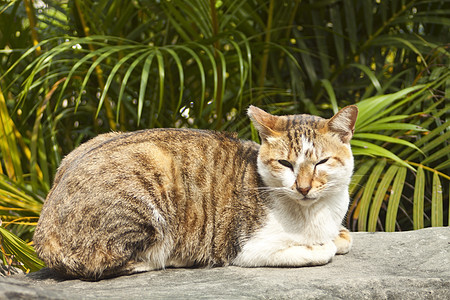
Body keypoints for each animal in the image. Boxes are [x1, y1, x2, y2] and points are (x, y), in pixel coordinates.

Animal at [33, 104, 358, 280]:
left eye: (321, 162)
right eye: (285, 163)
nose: (302, 187)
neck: (314, 213)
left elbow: (345, 238)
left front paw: (338, 237)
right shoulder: (244, 247)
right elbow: (320, 251)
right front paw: (321, 246)